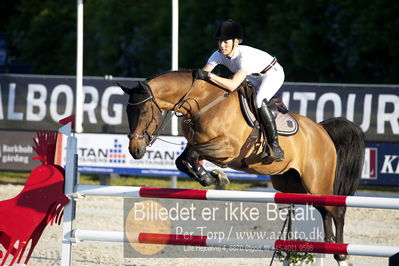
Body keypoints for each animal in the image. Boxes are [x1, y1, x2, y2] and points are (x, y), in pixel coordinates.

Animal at [119, 69, 366, 264]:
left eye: (144, 111)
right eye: (127, 112)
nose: (135, 150)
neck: (203, 103)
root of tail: (322, 129)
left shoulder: (227, 148)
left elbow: (192, 154)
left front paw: (215, 176)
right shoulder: (199, 144)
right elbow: (183, 160)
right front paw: (211, 177)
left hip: (317, 181)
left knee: (337, 210)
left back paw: (341, 254)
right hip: (293, 184)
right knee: (324, 210)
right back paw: (328, 244)